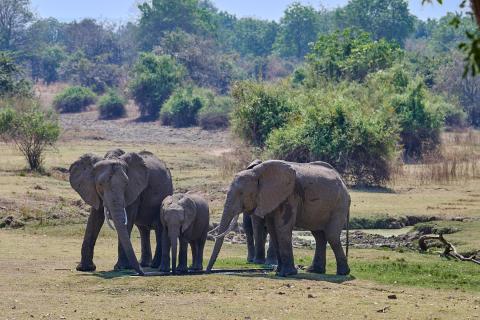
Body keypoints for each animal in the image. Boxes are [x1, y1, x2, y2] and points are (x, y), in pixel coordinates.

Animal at [205, 161, 348, 276]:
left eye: (241, 193)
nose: (207, 271)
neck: (257, 173)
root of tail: (341, 179)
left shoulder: (289, 195)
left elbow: (282, 228)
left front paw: (286, 274)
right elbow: (273, 230)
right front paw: (279, 271)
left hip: (339, 204)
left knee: (331, 235)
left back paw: (342, 273)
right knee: (319, 236)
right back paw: (314, 270)